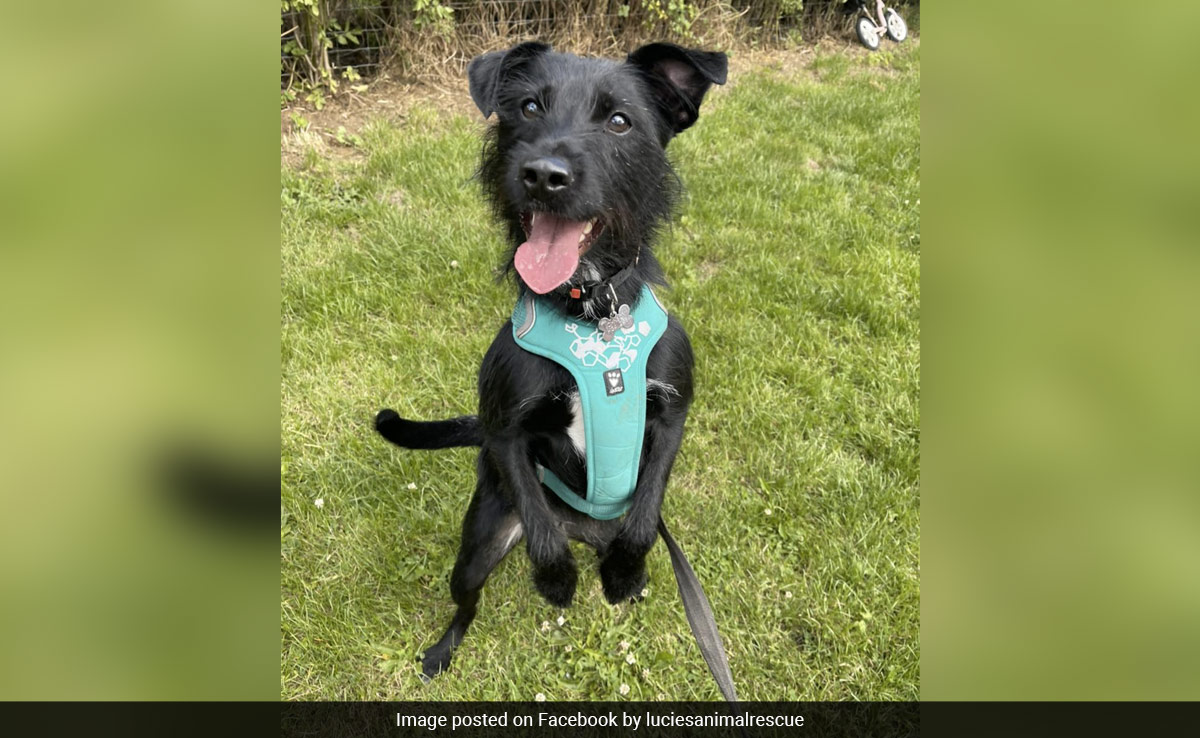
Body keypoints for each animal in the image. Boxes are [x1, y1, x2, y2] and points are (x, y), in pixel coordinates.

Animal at [375, 41, 727, 679]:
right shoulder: (506, 431)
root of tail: (585, 530)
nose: (542, 175)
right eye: (529, 108)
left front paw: (623, 573)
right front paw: (558, 581)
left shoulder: (671, 415)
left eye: (620, 121)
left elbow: (645, 517)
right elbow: (541, 531)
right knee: (468, 601)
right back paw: (443, 650)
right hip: (478, 547)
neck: (593, 315)